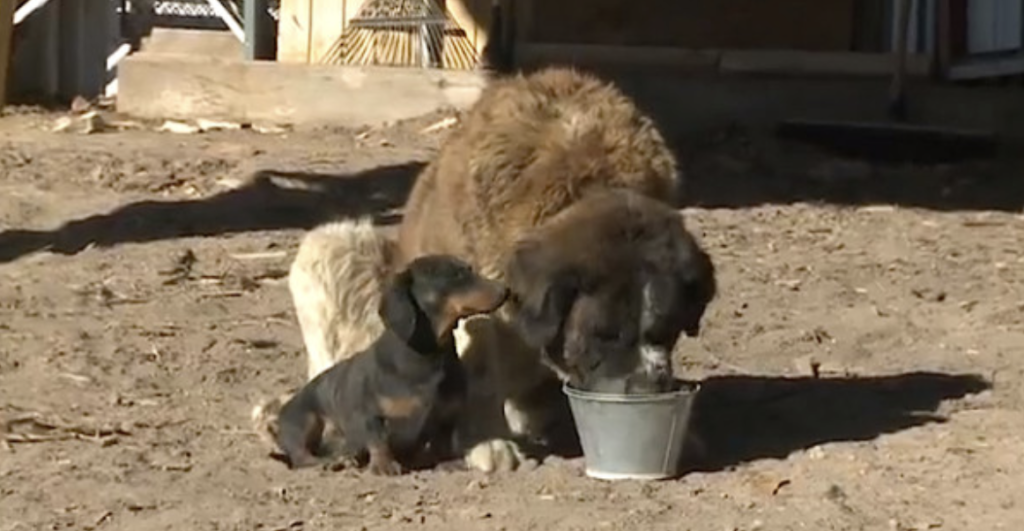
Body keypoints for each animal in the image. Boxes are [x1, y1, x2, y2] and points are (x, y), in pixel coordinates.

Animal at [253, 67, 720, 474]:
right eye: (603, 335)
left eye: (667, 331)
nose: (647, 389)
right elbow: (479, 365)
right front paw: (487, 444)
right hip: (333, 247)